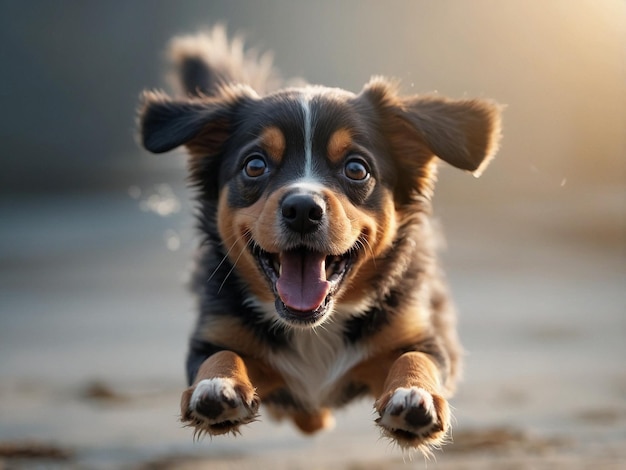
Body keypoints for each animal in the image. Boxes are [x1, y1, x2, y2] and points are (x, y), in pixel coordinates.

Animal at [136, 27, 498, 454]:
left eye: (356, 168)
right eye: (254, 165)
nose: (302, 209)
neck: (314, 329)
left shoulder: (421, 334)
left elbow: (417, 358)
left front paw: (415, 395)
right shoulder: (215, 330)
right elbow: (219, 355)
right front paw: (216, 386)